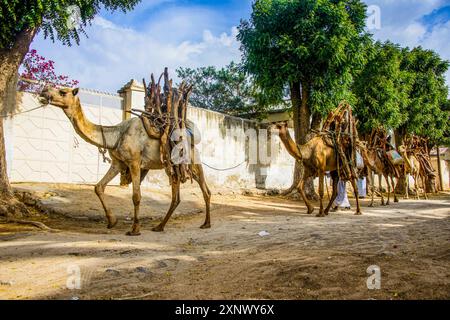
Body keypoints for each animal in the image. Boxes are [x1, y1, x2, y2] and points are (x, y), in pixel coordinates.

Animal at [38, 87, 211, 235]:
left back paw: (205, 224)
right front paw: (112, 221)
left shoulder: (134, 162)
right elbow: (98, 187)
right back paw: (161, 226)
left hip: (192, 161)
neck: (116, 135)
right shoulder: (118, 163)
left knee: (204, 190)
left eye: (63, 91)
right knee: (177, 197)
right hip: (173, 167)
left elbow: (136, 196)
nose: (44, 90)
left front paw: (134, 230)